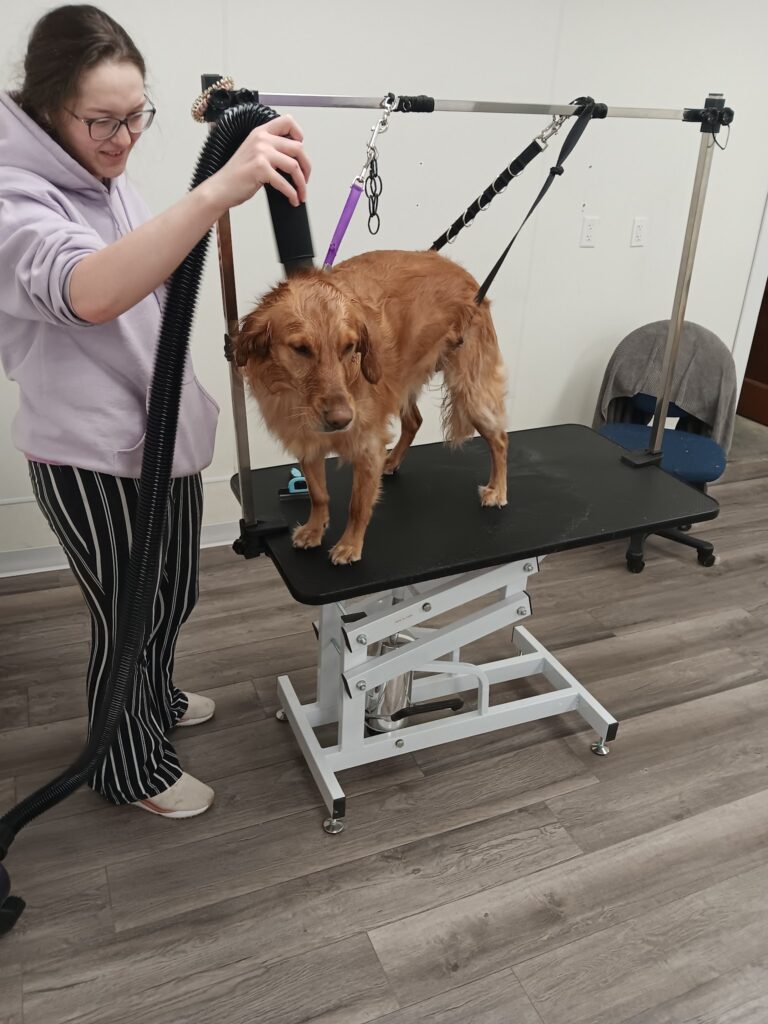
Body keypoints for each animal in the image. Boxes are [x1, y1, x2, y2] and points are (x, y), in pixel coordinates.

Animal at [235, 249, 508, 565]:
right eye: (300, 349)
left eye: (349, 347)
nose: (342, 420)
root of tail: (465, 276)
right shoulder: (307, 442)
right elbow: (318, 494)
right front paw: (315, 529)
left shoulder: (367, 443)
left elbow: (357, 505)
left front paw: (350, 545)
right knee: (414, 421)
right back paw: (391, 462)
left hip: (471, 391)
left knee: (499, 439)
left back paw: (497, 489)